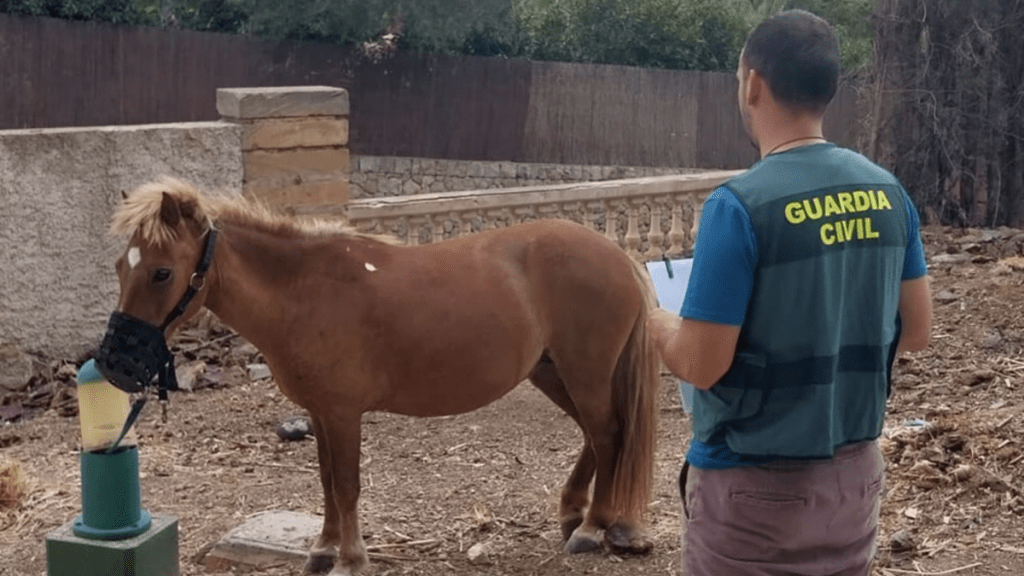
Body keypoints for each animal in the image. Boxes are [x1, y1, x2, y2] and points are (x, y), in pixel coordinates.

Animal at [110, 177, 655, 569]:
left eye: (162, 272)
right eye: (120, 266)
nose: (115, 361)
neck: (302, 290)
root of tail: (618, 256)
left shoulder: (342, 413)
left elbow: (347, 486)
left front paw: (350, 559)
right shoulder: (320, 412)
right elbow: (327, 482)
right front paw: (322, 550)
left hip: (584, 372)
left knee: (607, 433)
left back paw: (592, 528)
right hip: (552, 373)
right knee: (595, 434)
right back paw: (575, 514)